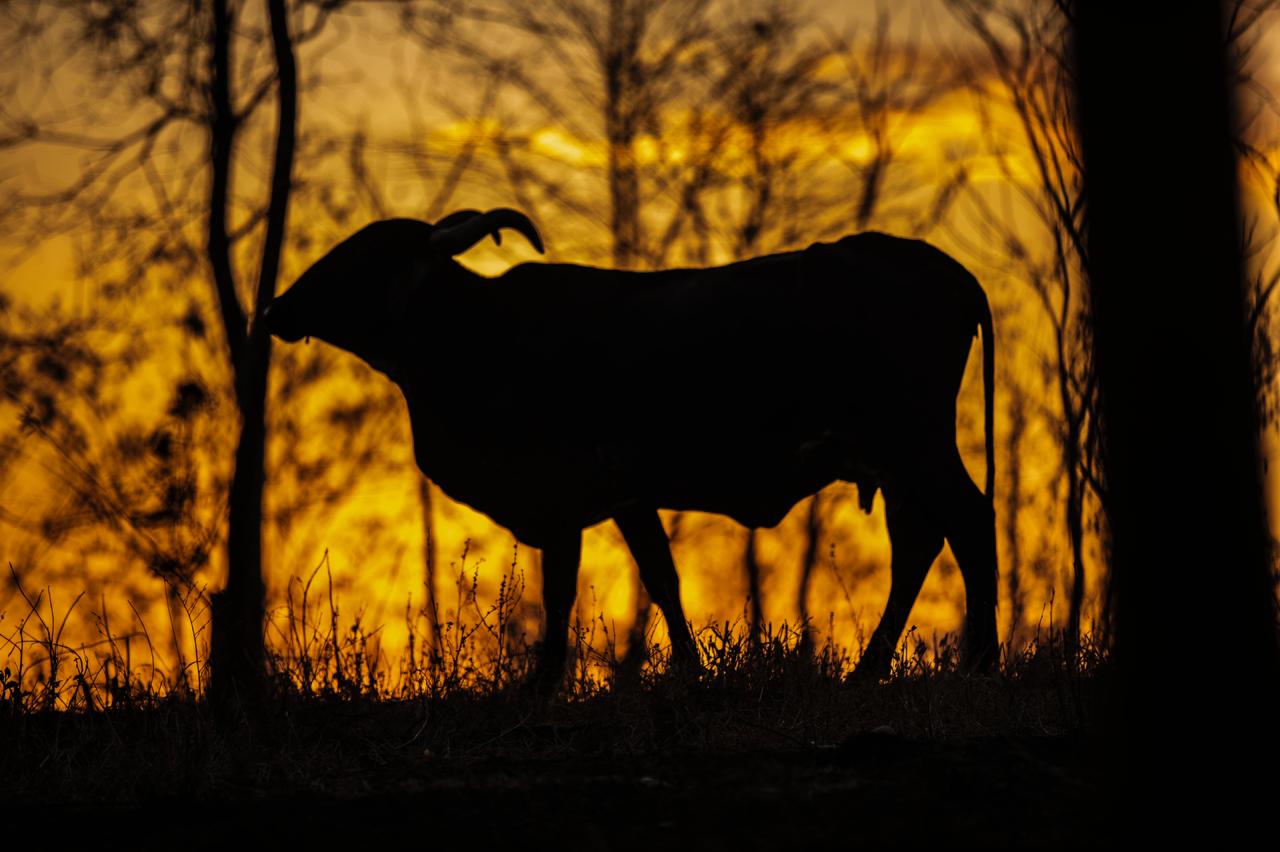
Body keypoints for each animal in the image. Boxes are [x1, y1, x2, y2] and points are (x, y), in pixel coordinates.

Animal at [262, 208, 998, 685]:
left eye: (358, 257)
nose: (276, 307)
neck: (479, 335)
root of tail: (946, 269)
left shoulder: (563, 496)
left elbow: (563, 594)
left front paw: (541, 686)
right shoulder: (626, 496)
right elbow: (662, 578)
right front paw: (689, 672)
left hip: (918, 444)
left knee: (968, 521)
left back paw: (980, 662)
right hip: (898, 463)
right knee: (920, 543)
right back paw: (873, 669)